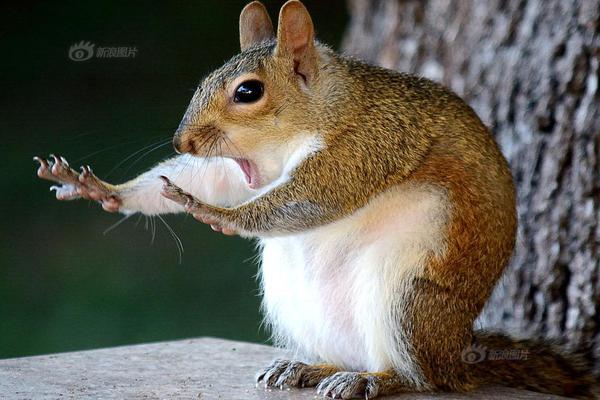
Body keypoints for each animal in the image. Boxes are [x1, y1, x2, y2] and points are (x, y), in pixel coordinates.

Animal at [35, 0, 596, 400]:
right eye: (206, 80)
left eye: (248, 92)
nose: (183, 142)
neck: (323, 110)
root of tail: (458, 357)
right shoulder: (243, 168)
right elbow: (212, 178)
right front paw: (104, 189)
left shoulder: (369, 144)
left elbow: (314, 197)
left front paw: (217, 214)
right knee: (347, 356)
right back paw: (308, 367)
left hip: (408, 300)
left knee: (421, 379)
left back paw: (377, 380)